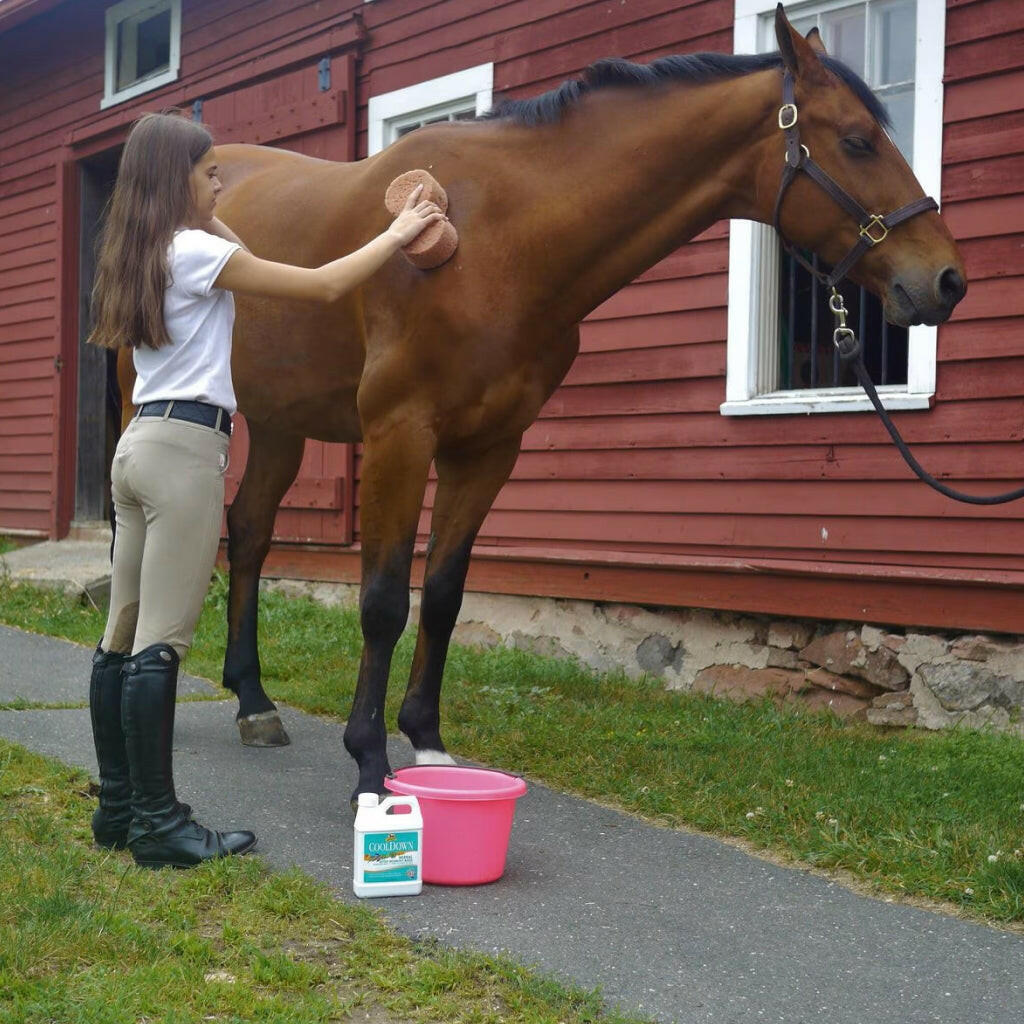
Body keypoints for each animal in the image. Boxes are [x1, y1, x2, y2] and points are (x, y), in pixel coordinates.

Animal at [116, 12, 962, 802]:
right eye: (857, 141)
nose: (947, 280)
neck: (499, 240)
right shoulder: (399, 434)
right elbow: (384, 600)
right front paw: (370, 761)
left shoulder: (490, 447)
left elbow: (445, 593)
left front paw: (427, 745)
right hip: (150, 403)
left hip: (279, 423)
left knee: (252, 533)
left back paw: (253, 699)